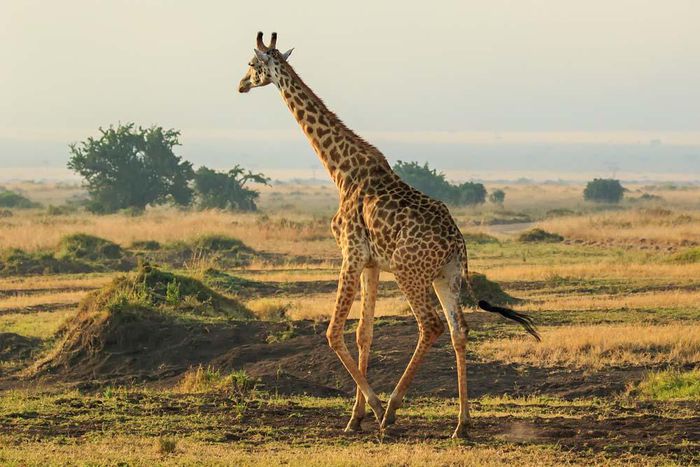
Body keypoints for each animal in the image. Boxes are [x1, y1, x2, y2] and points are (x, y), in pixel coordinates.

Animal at [238, 32, 540, 438]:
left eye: (252, 65)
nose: (240, 85)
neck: (341, 170)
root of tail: (457, 246)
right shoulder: (371, 263)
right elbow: (364, 333)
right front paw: (355, 417)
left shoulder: (350, 253)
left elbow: (334, 332)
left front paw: (374, 409)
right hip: (445, 277)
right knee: (459, 330)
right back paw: (461, 424)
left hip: (409, 271)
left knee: (430, 325)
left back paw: (393, 410)